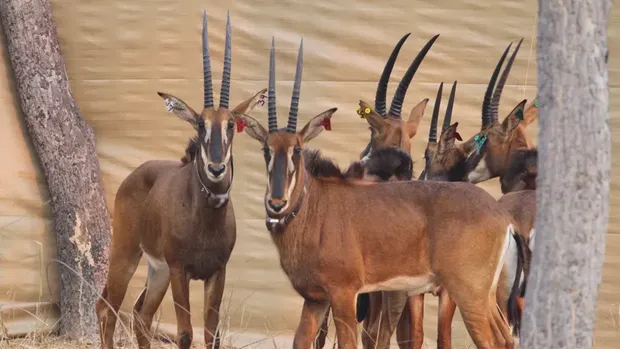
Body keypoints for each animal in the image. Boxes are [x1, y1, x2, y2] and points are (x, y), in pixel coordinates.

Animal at [95, 10, 266, 348]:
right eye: (200, 123)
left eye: (231, 125)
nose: (216, 168)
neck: (206, 217)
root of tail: (134, 175)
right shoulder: (180, 270)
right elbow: (186, 334)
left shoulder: (216, 272)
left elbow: (211, 335)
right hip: (126, 254)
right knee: (108, 308)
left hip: (157, 271)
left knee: (141, 315)